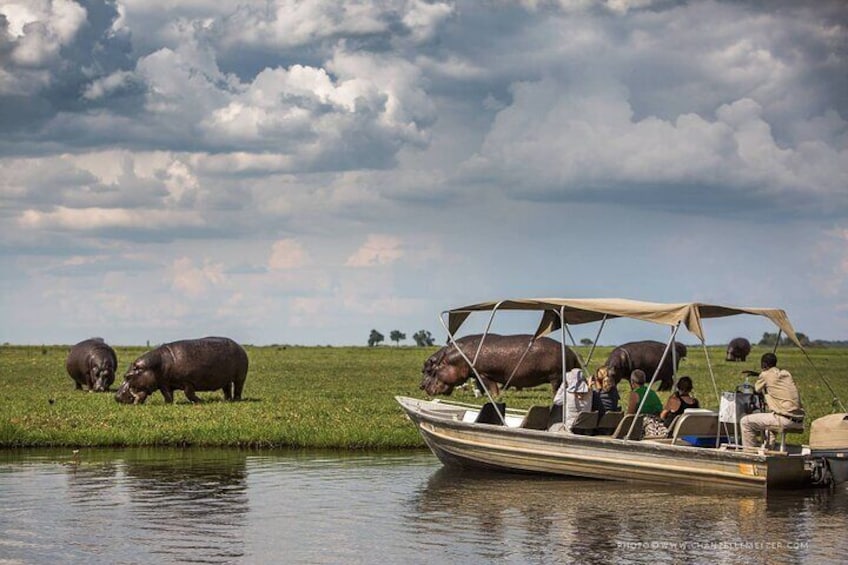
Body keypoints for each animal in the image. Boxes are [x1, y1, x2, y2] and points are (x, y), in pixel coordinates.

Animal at [112, 338, 247, 404]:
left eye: (128, 376)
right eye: (124, 375)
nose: (116, 397)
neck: (154, 366)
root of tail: (240, 346)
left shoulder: (187, 382)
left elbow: (189, 394)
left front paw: (200, 401)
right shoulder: (164, 384)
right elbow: (167, 395)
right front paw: (167, 404)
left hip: (240, 377)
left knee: (238, 388)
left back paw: (236, 400)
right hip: (226, 379)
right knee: (227, 389)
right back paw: (227, 400)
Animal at [420, 334, 580, 396]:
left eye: (430, 370)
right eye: (424, 369)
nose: (421, 386)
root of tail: (571, 352)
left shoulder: (483, 373)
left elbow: (490, 386)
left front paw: (495, 396)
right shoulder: (476, 375)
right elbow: (479, 386)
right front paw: (482, 395)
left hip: (556, 376)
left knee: (556, 387)